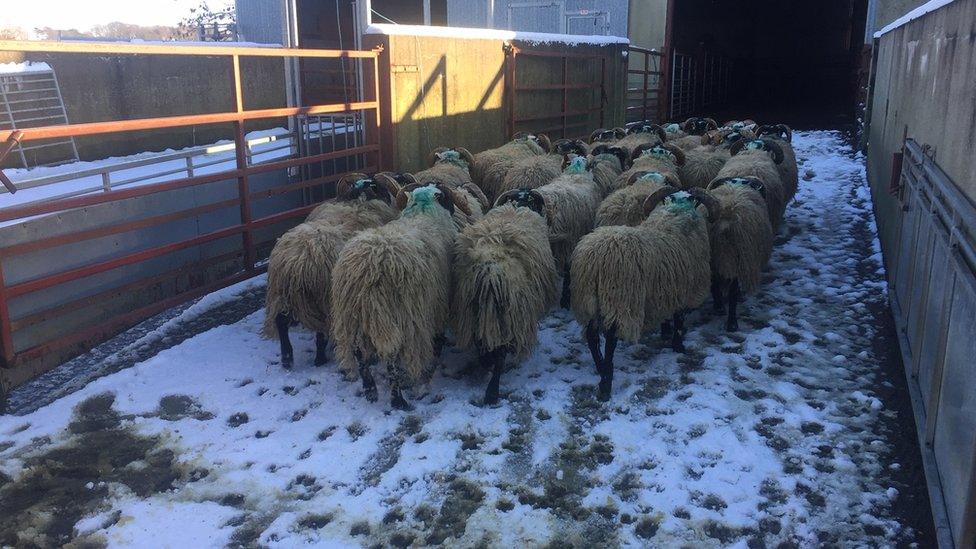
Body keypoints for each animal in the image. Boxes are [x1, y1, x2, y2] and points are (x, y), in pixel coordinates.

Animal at [264, 171, 400, 368]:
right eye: (381, 187)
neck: (361, 201)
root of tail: (298, 262)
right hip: (322, 296)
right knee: (320, 330)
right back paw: (319, 358)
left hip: (282, 292)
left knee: (281, 321)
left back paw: (287, 358)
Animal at [332, 180, 472, 406]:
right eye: (450, 200)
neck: (424, 213)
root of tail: (368, 267)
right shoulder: (435, 305)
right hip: (394, 315)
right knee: (391, 355)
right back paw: (398, 399)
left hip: (353, 314)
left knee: (359, 351)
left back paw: (370, 389)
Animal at [450, 188, 556, 402]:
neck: (521, 204)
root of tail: (489, 272)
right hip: (508, 314)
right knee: (500, 353)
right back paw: (492, 392)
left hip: (476, 313)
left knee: (483, 346)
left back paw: (485, 366)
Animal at [568, 187, 720, 398]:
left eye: (691, 199)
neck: (676, 214)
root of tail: (594, 259)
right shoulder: (684, 291)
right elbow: (679, 320)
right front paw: (678, 346)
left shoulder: (664, 292)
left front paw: (666, 332)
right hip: (620, 299)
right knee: (611, 339)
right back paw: (606, 383)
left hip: (588, 300)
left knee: (591, 335)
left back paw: (600, 366)